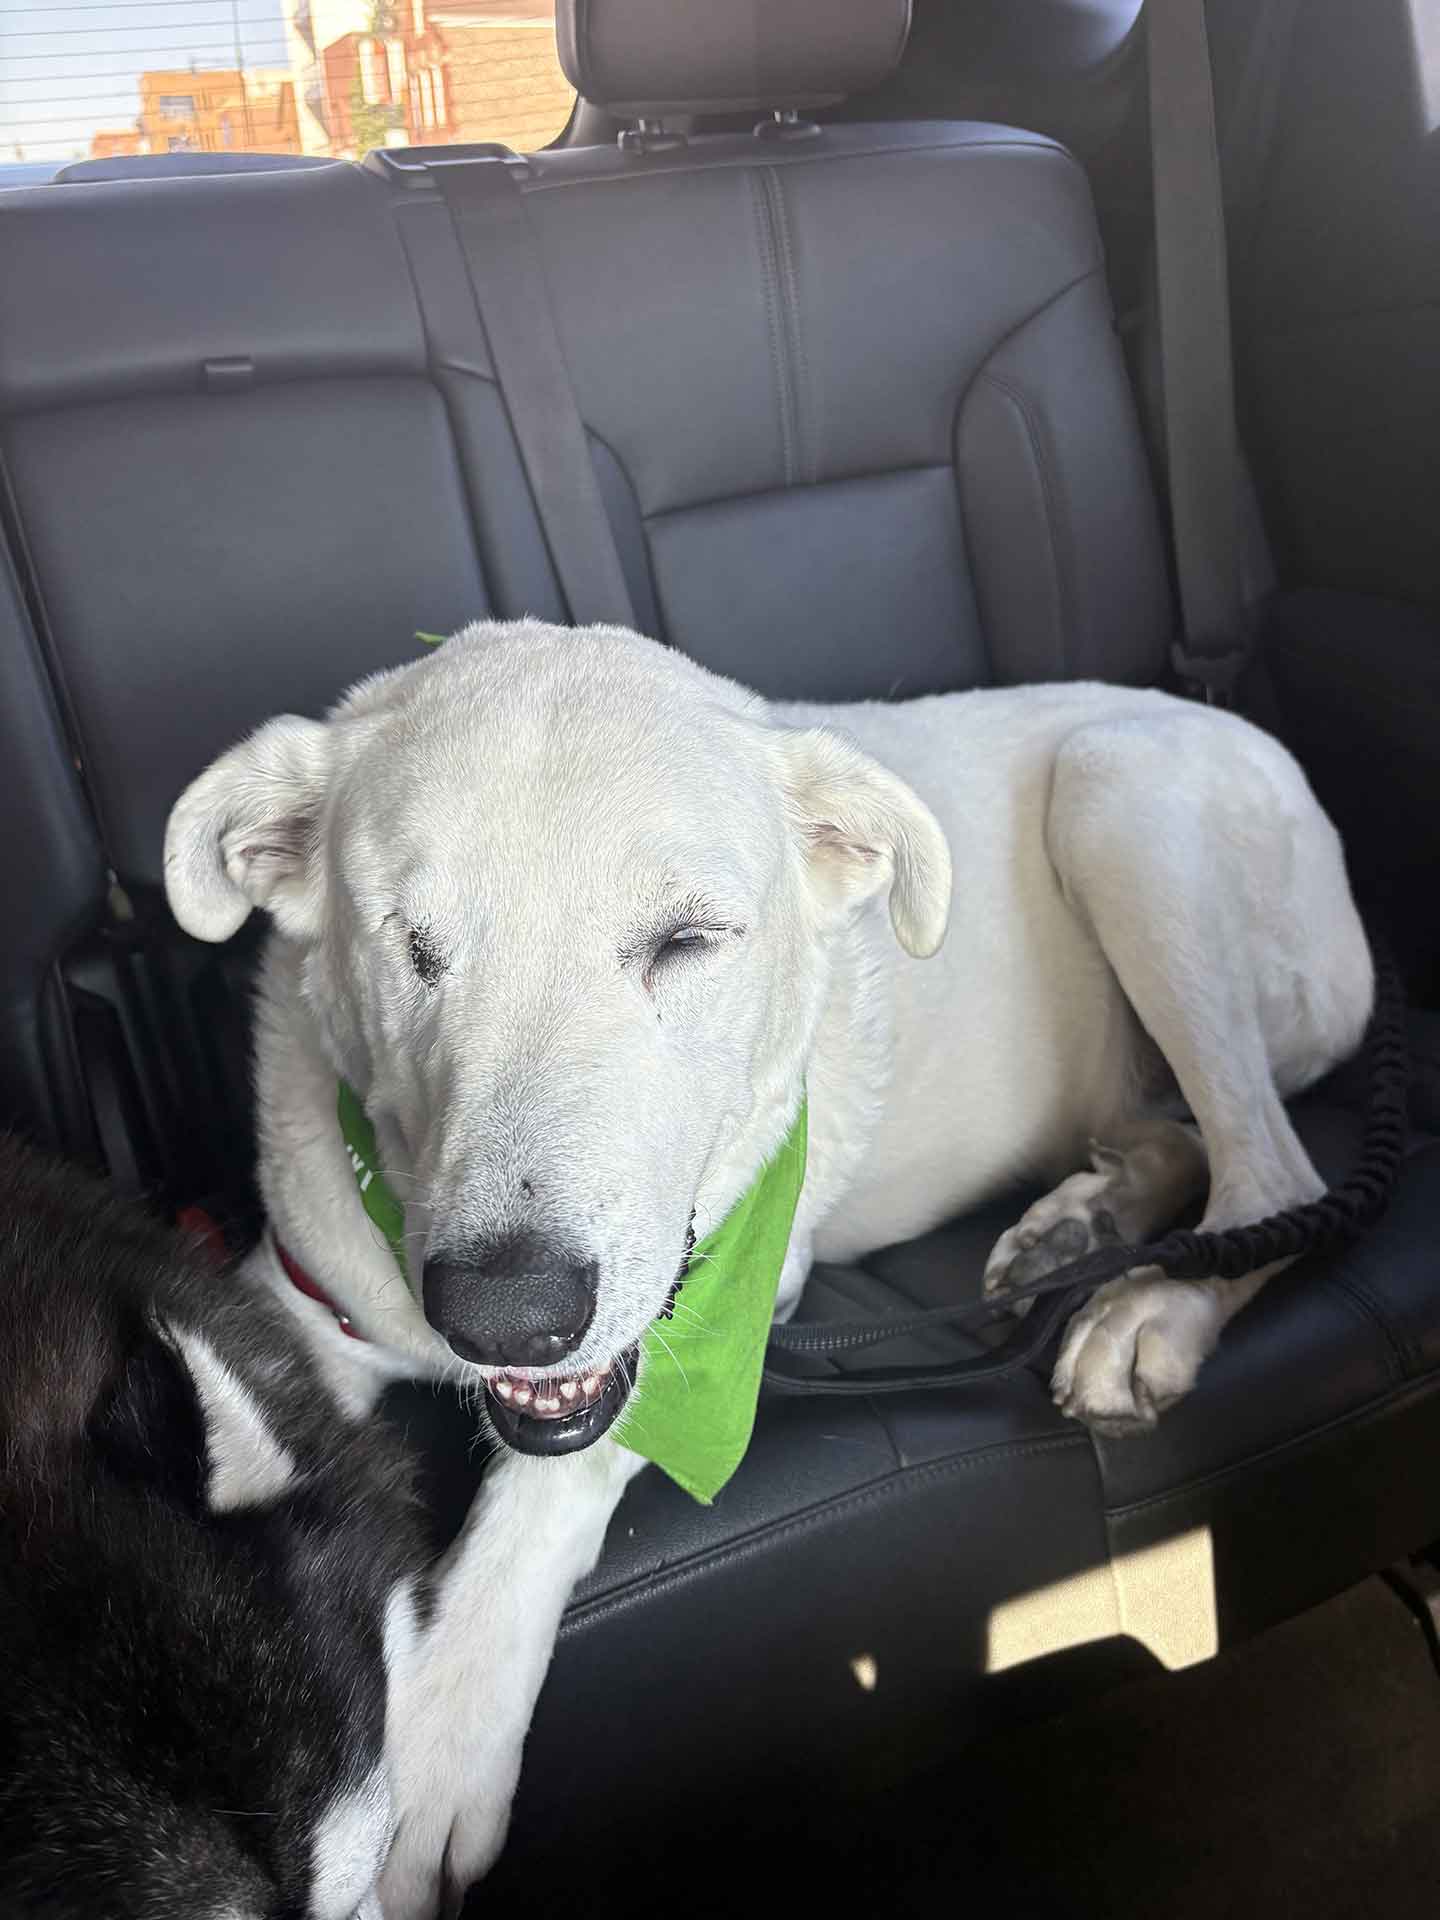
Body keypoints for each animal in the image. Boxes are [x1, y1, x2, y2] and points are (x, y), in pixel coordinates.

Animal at [163, 618, 1372, 1914]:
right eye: (408, 941)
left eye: (689, 942)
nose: (508, 1315)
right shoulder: (290, 1303)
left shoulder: (703, 1329)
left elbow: (539, 1504)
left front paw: (439, 1739)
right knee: (1176, 1135)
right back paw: (1085, 1226)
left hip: (1118, 793)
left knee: (1271, 1171)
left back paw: (1153, 1305)